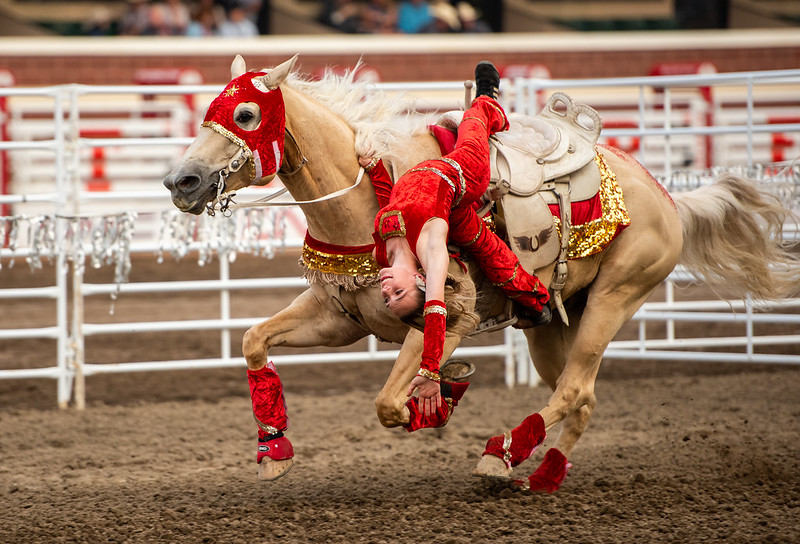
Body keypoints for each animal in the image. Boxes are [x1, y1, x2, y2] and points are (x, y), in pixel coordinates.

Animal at [164, 57, 800, 490]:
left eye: (246, 113)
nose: (181, 181)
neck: (369, 195)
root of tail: (669, 198)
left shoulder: (448, 316)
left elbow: (389, 403)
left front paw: (440, 399)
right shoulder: (338, 316)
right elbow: (253, 340)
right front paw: (274, 451)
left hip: (617, 296)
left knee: (575, 387)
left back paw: (500, 453)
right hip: (553, 323)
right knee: (580, 395)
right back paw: (542, 473)